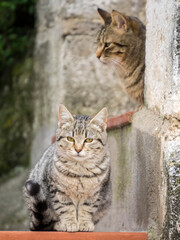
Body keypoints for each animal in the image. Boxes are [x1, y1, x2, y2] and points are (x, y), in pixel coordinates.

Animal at [23, 104, 111, 232]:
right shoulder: (58, 190)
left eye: (89, 140)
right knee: (49, 223)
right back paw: (59, 225)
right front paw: (70, 223)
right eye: (70, 138)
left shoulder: (95, 193)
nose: (78, 149)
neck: (80, 171)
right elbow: (66, 208)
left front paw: (84, 223)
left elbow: (87, 209)